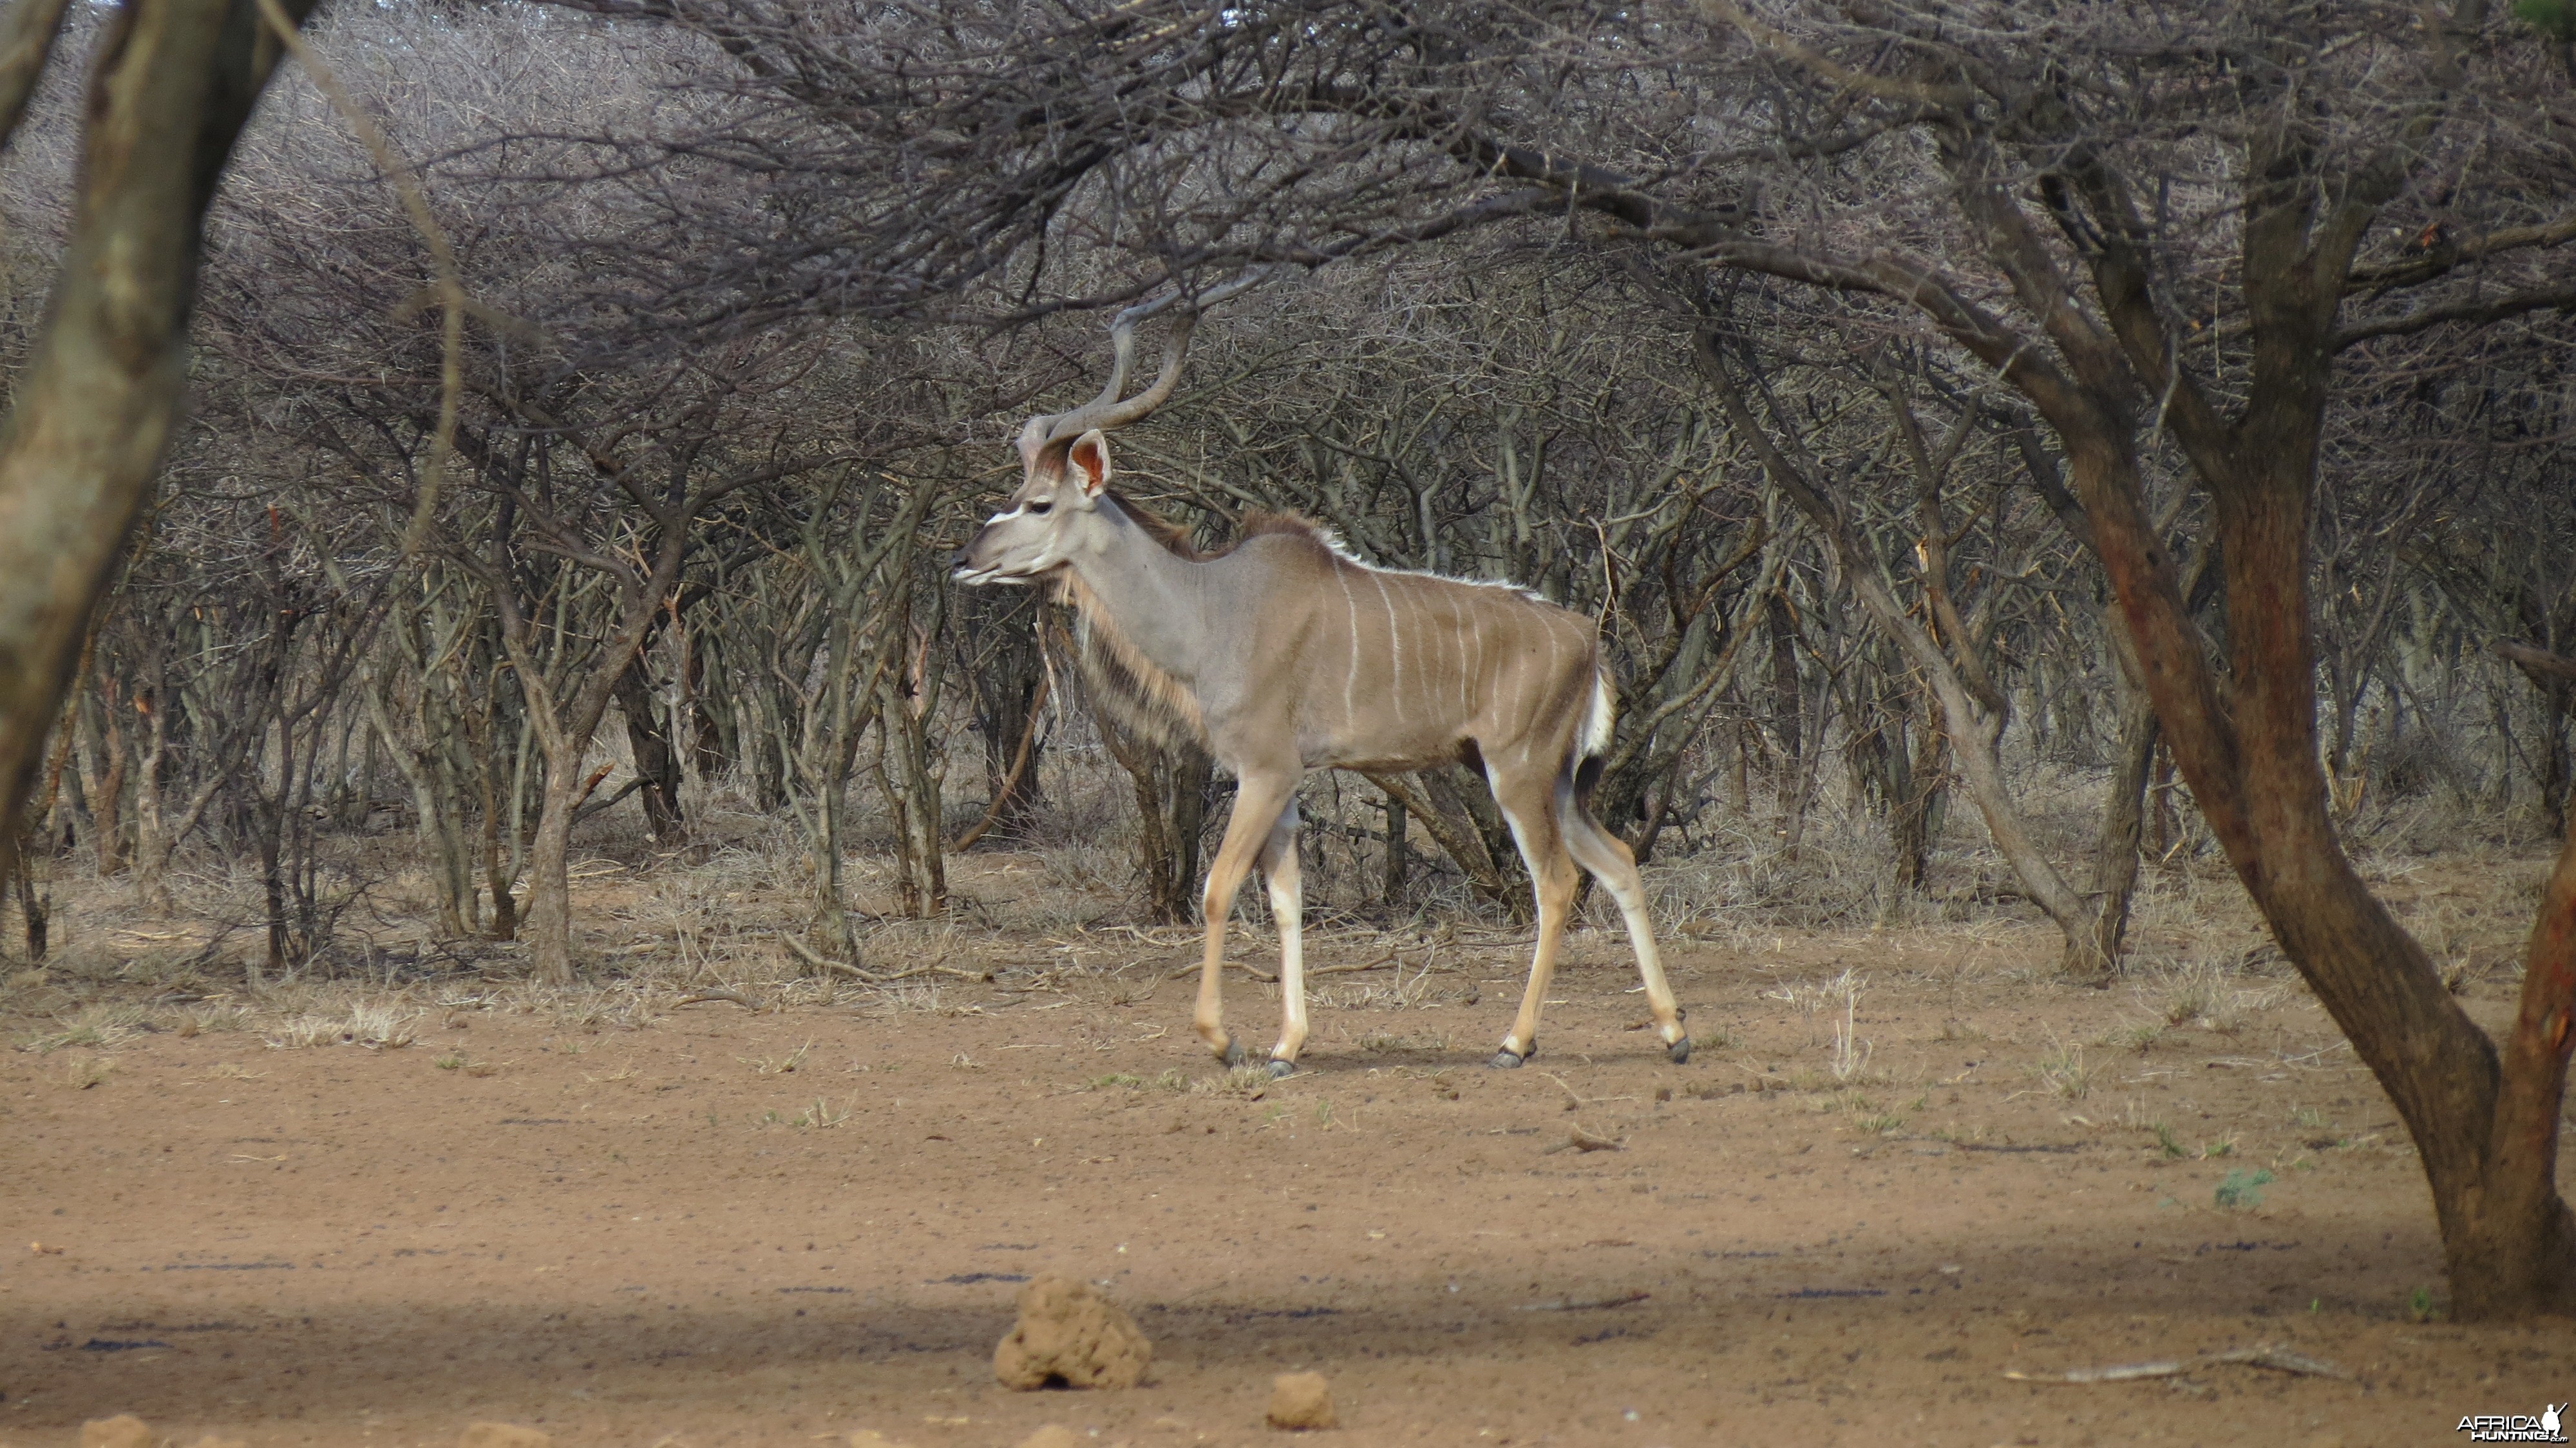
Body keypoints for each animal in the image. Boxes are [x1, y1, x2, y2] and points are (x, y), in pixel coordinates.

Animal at [953, 287, 1690, 1072]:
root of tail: (1588, 639)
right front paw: (1286, 1046)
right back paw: (1672, 1032)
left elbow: (1217, 889)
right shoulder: (1281, 783)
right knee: (1617, 861)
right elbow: (1286, 902)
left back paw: (1515, 1043)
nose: (965, 559)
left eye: (1039, 503)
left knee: (1556, 883)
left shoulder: (1265, 771)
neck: (1210, 607)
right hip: (1557, 781)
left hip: (1517, 772)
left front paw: (1223, 1039)